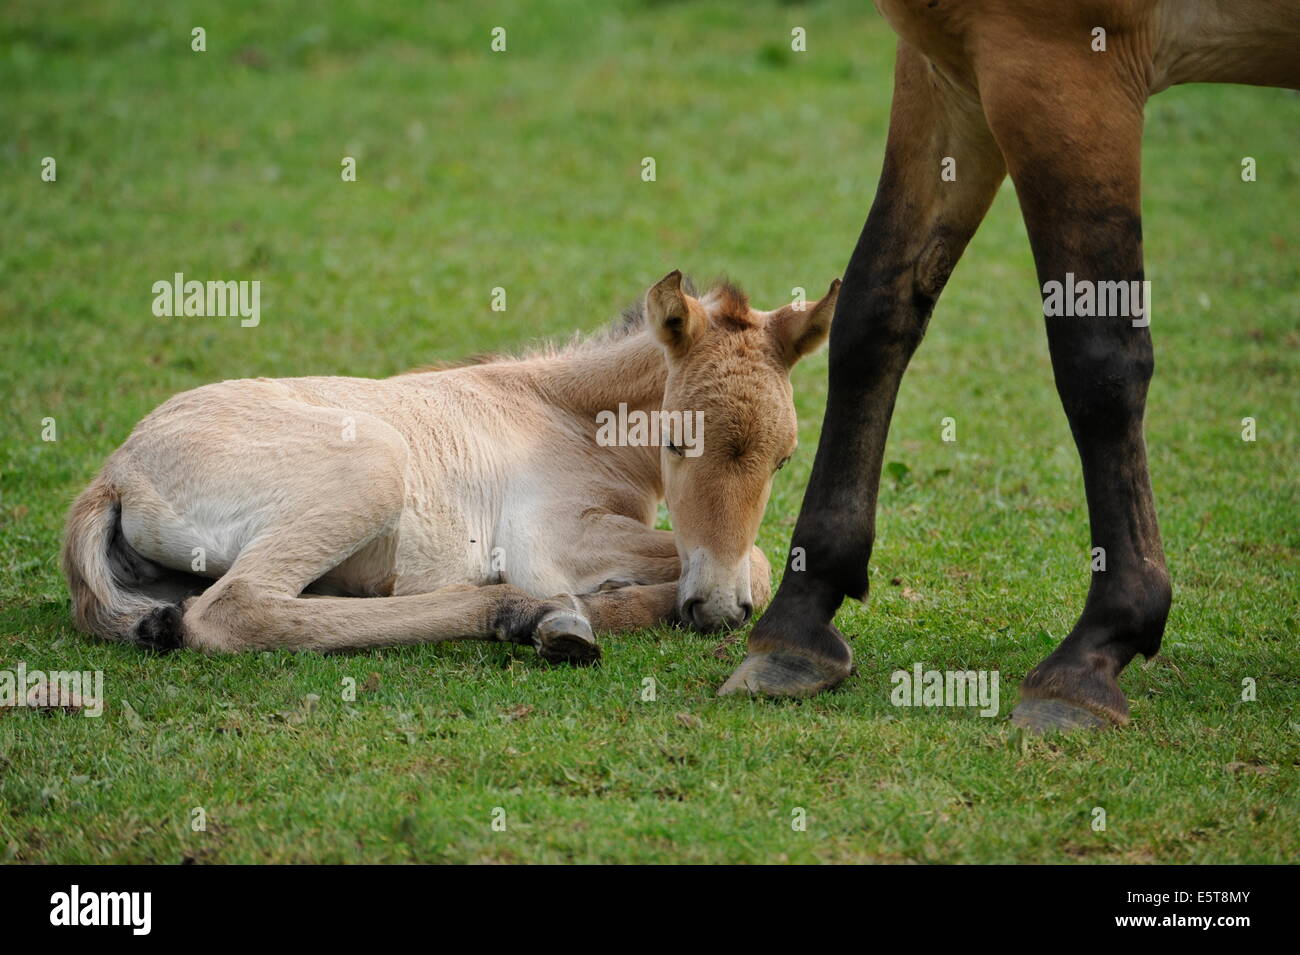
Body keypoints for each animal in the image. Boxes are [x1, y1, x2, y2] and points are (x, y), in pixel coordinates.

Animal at [61, 271, 838, 662]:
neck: (562, 411)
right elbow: (755, 562)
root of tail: (116, 472)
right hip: (372, 467)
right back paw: (529, 614)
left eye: (785, 459)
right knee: (237, 609)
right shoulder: (551, 536)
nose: (716, 611)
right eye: (677, 441)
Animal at [721, 0, 1300, 731]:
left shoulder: (1062, 70)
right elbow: (875, 309)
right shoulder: (948, 72)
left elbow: (1098, 356)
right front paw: (800, 616)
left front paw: (1098, 647)